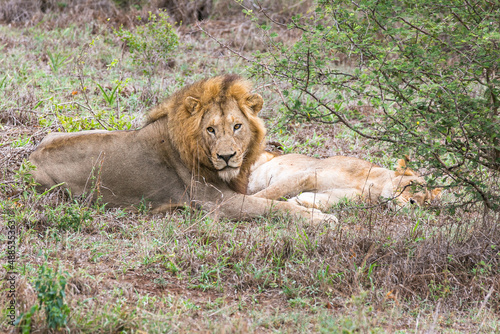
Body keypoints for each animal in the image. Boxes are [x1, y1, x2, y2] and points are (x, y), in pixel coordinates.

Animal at [30, 75, 336, 224]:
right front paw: (321, 218)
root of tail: (32, 155)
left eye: (237, 126)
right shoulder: (217, 204)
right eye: (210, 130)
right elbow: (274, 206)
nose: (227, 157)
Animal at [247, 152, 442, 211]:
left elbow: (320, 201)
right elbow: (269, 192)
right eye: (413, 185)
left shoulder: (338, 195)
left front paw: (300, 202)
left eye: (426, 202)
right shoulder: (307, 175)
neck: (374, 186)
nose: (414, 204)